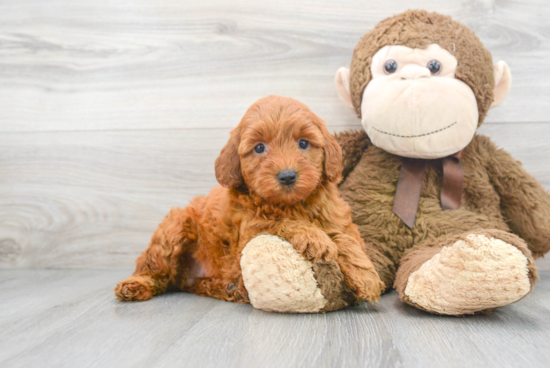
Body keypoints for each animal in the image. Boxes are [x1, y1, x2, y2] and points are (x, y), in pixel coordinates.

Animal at [116, 95, 384, 308]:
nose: (287, 176)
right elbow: (283, 222)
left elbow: (346, 239)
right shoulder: (249, 231)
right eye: (259, 148)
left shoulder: (336, 218)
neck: (292, 204)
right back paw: (135, 285)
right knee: (156, 270)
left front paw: (367, 278)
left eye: (303, 143)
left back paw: (229, 289)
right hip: (174, 228)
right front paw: (314, 238)